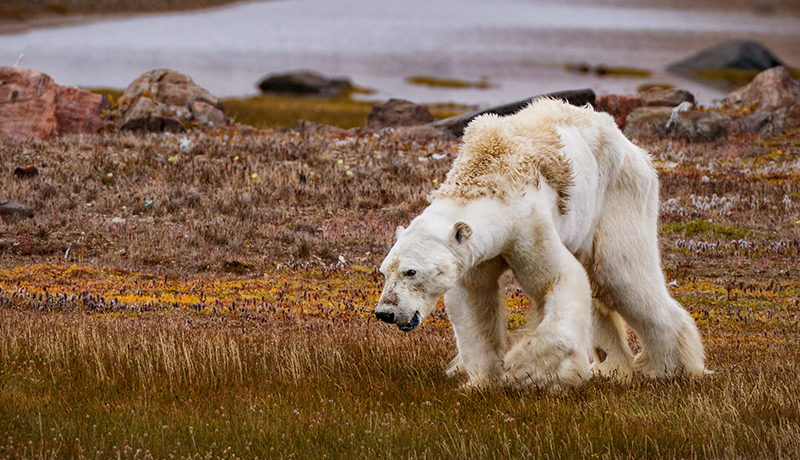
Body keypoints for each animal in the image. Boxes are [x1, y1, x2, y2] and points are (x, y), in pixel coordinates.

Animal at [376, 99, 708, 390]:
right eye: (384, 272)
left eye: (411, 272)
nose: (385, 313)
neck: (487, 176)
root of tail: (636, 150)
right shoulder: (475, 254)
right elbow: (473, 300)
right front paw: (482, 381)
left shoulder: (528, 224)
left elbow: (560, 279)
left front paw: (526, 370)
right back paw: (612, 367)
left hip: (618, 196)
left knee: (622, 275)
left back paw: (668, 367)